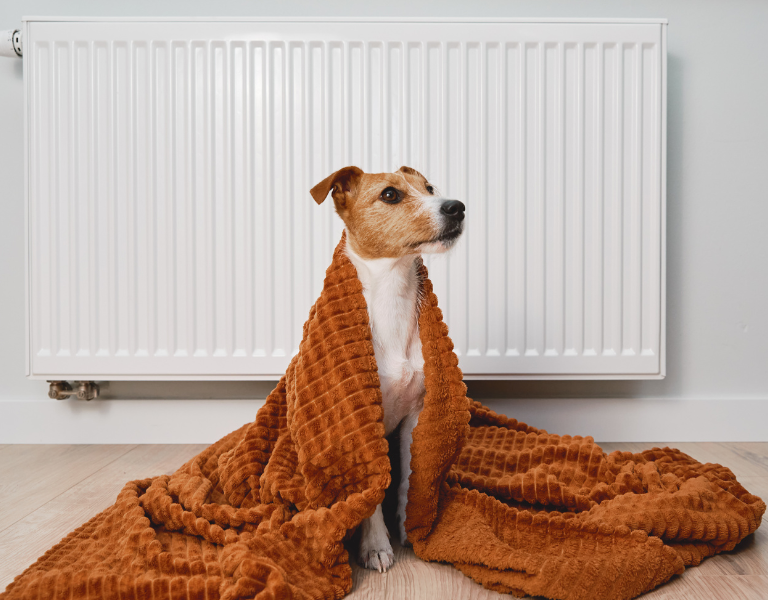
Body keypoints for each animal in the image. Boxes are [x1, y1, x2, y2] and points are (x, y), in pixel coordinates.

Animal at [308, 164, 464, 572]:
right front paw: (377, 545)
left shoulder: (415, 417)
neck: (392, 293)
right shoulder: (363, 425)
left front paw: (410, 528)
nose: (457, 207)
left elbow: (409, 478)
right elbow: (372, 494)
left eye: (430, 187)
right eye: (390, 195)